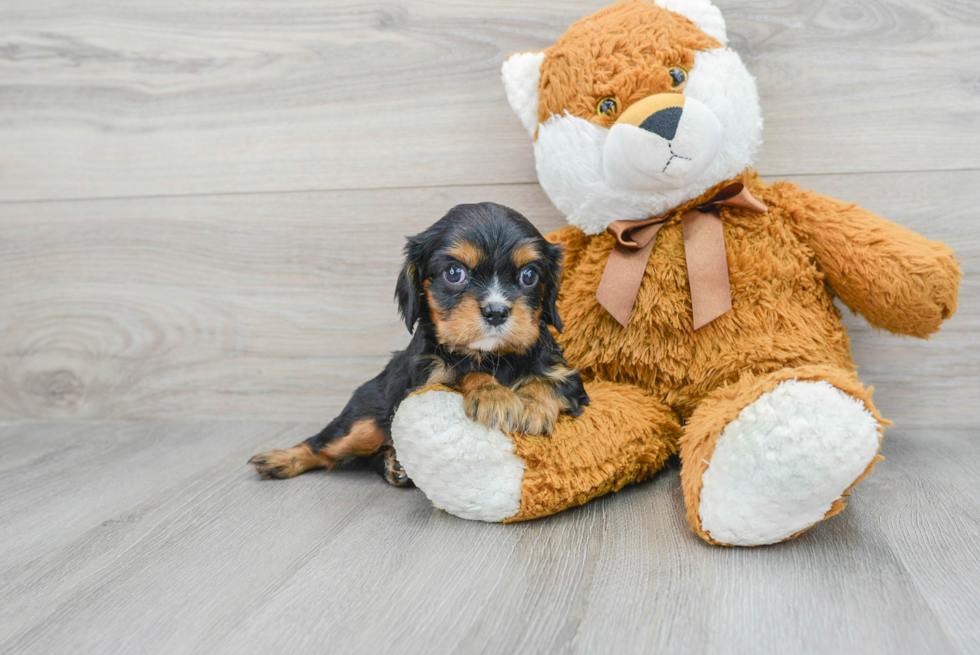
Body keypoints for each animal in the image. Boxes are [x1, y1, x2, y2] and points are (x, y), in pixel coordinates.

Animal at [253, 204, 588, 486]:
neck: (493, 357)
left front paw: (531, 405)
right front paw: (493, 395)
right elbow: (464, 371)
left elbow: (549, 383)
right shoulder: (427, 380)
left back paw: (394, 465)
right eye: (454, 273)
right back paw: (280, 459)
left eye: (529, 276)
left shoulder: (569, 378)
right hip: (364, 421)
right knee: (324, 445)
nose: (496, 311)